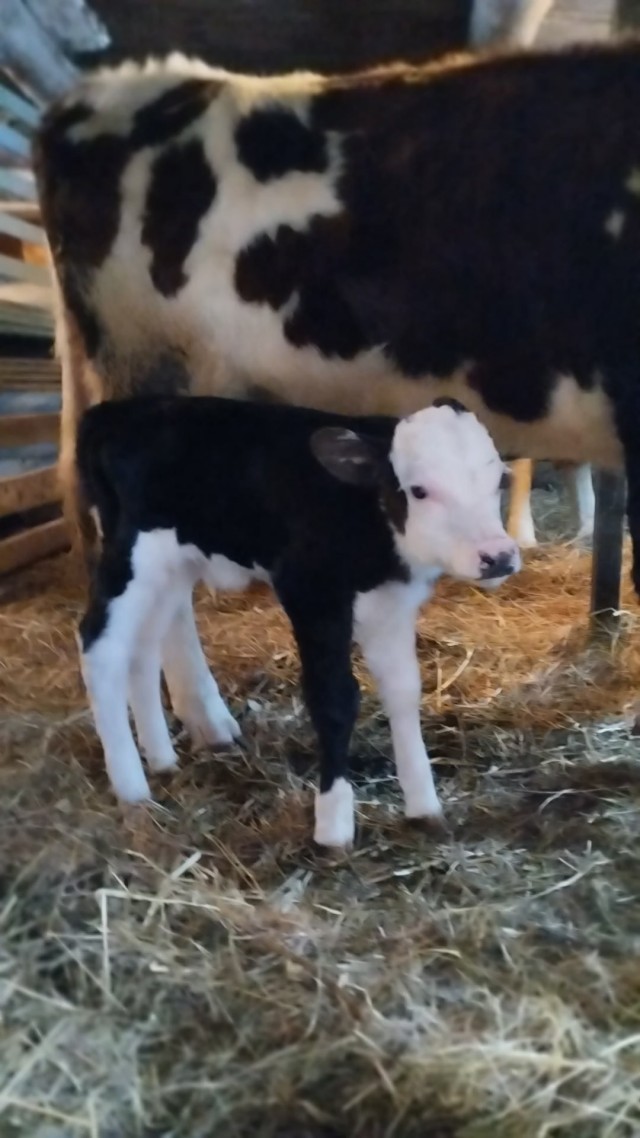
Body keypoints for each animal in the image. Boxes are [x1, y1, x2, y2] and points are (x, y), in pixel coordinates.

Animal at [75, 395, 519, 846]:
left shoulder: (391, 604)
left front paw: (423, 805)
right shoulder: (312, 594)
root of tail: (112, 411)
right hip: (132, 555)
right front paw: (333, 825)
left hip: (171, 568)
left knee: (144, 647)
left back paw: (161, 759)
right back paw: (132, 789)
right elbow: (334, 700)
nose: (498, 555)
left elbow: (404, 691)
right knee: (101, 648)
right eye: (419, 490)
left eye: (500, 480)